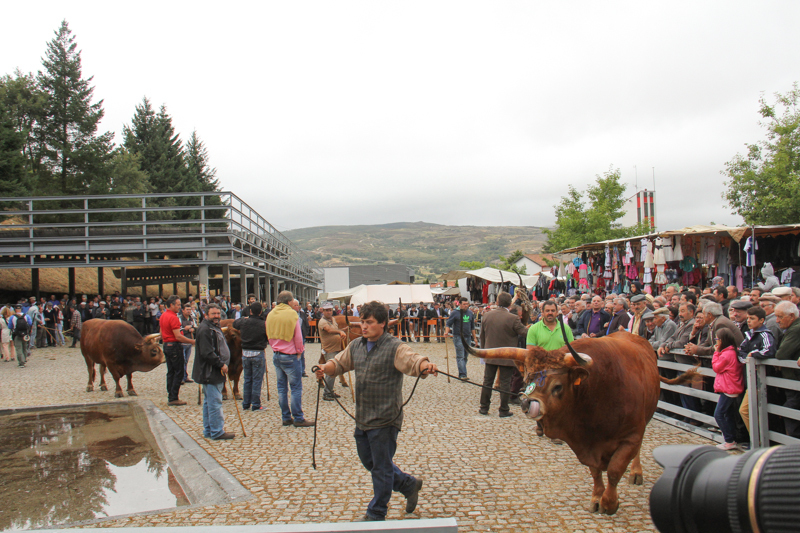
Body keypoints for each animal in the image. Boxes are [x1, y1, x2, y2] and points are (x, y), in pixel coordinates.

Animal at [462, 326, 692, 512]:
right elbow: (595, 471)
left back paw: (636, 472)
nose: (528, 403)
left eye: (557, 386)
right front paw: (597, 498)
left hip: (646, 418)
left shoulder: (631, 436)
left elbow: (614, 470)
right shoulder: (586, 443)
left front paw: (610, 503)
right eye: (528, 378)